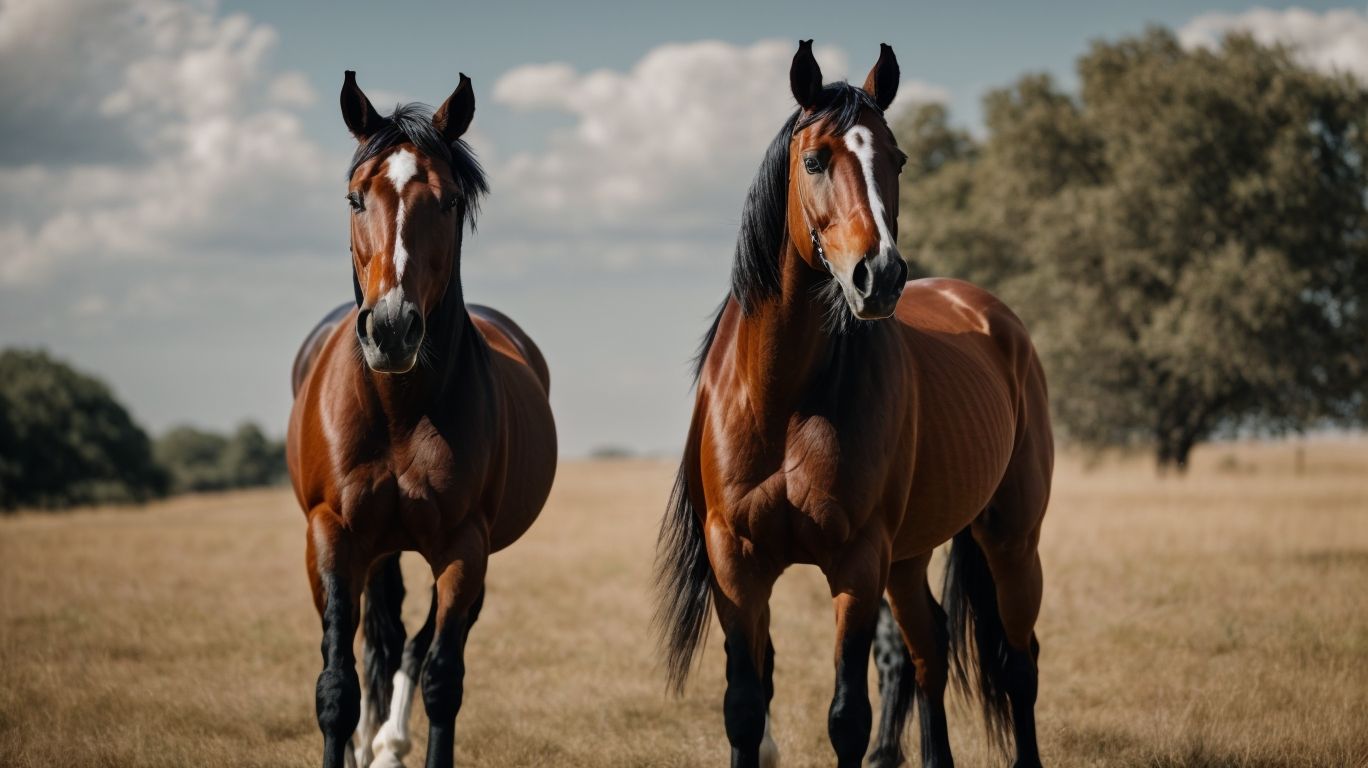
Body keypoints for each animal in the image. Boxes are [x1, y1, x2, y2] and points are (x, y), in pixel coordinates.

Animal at [287, 72, 557, 768]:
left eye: (449, 201)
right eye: (356, 197)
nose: (390, 329)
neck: (398, 410)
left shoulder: (465, 547)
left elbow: (441, 679)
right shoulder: (331, 537)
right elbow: (336, 683)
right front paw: (351, 735)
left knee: (411, 646)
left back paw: (389, 741)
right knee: (373, 644)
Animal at [654, 41, 1053, 768]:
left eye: (897, 158)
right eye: (815, 159)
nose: (881, 276)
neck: (781, 399)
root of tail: (994, 317)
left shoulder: (857, 563)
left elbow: (848, 716)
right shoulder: (738, 564)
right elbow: (745, 707)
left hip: (1011, 539)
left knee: (1018, 663)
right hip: (911, 556)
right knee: (931, 649)